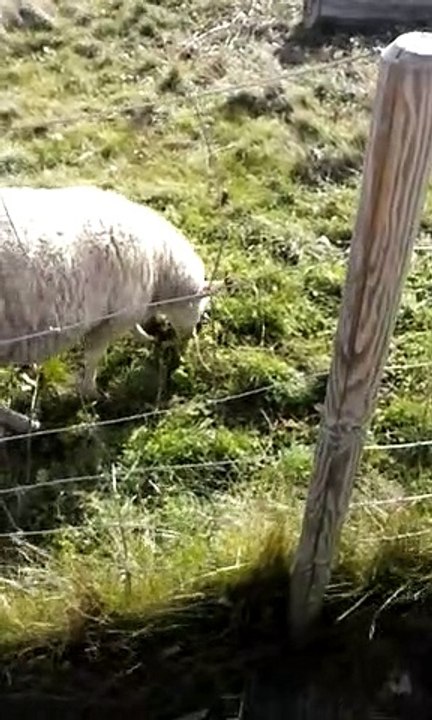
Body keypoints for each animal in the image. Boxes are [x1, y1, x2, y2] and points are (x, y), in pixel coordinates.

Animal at [0, 185, 223, 430]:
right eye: (200, 308)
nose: (188, 339)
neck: (159, 265)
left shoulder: (127, 308)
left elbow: (134, 328)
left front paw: (148, 338)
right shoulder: (113, 318)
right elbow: (94, 356)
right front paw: (92, 392)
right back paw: (25, 423)